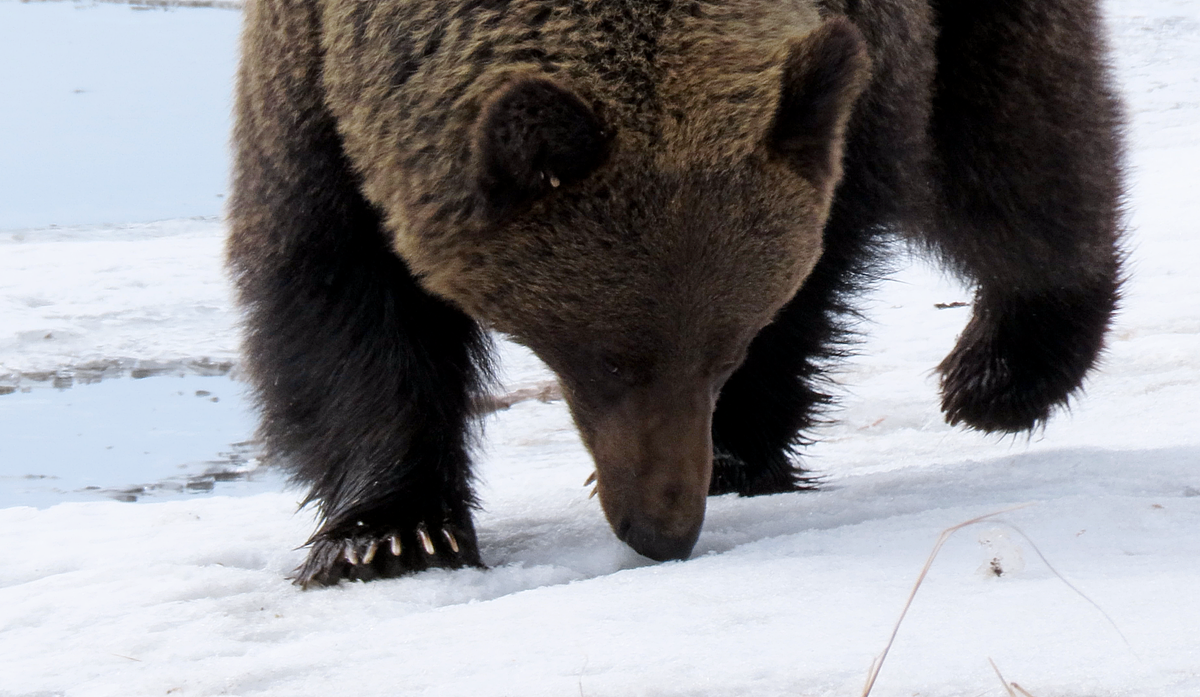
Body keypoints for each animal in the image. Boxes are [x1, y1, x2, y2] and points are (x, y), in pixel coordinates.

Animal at [226, 0, 1123, 587]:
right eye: (609, 360)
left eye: (725, 352)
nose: (662, 529)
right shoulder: (316, 90)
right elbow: (335, 297)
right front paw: (387, 534)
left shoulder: (855, 76)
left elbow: (825, 259)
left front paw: (736, 453)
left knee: (1017, 138)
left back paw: (1008, 368)